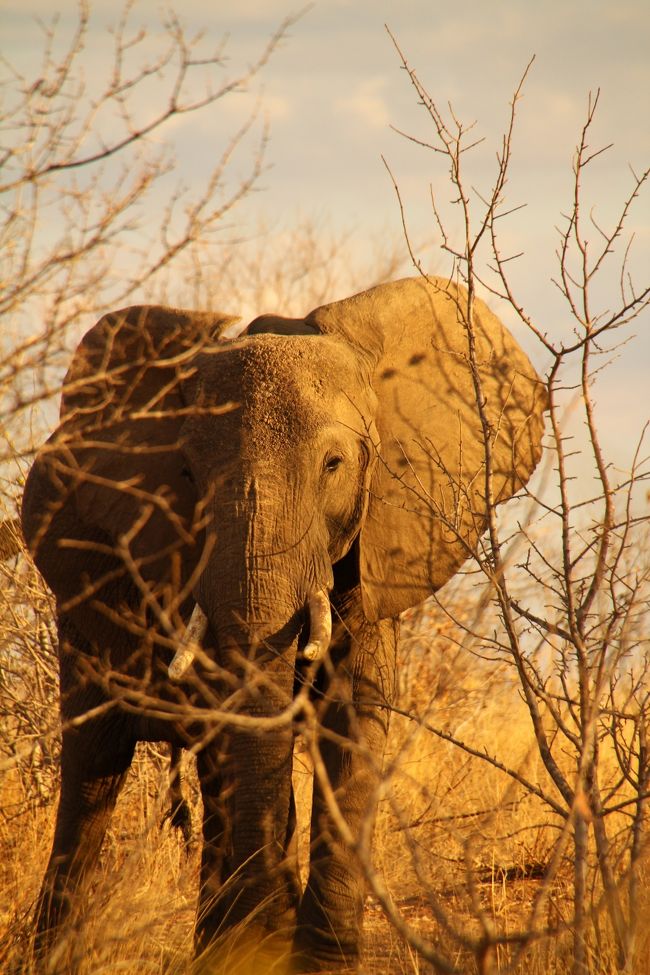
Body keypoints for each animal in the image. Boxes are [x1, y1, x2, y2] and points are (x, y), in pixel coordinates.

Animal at [21, 276, 540, 975]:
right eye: (187, 473)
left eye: (333, 465)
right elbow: (231, 725)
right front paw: (253, 947)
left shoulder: (374, 542)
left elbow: (352, 716)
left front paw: (314, 959)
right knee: (96, 764)